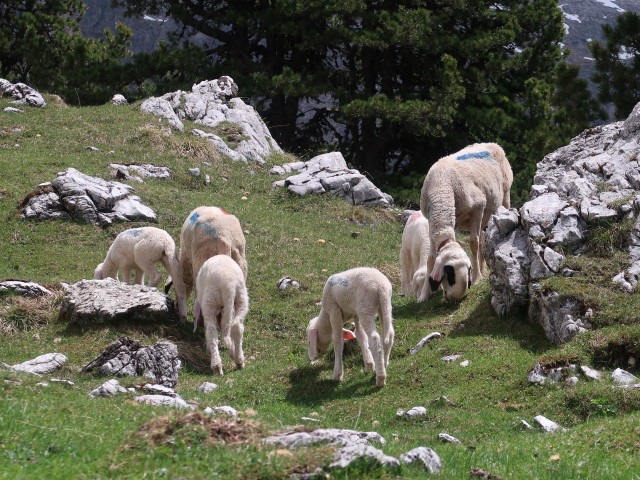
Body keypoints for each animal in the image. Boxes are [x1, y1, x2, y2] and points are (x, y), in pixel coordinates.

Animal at [420, 142, 516, 300]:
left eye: (468, 270)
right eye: (449, 272)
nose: (453, 298)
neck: (441, 187)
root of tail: (492, 144)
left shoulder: (479, 206)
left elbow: (474, 243)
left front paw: (477, 278)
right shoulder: (431, 221)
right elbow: (431, 258)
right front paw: (424, 295)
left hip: (504, 196)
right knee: (484, 239)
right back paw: (484, 269)